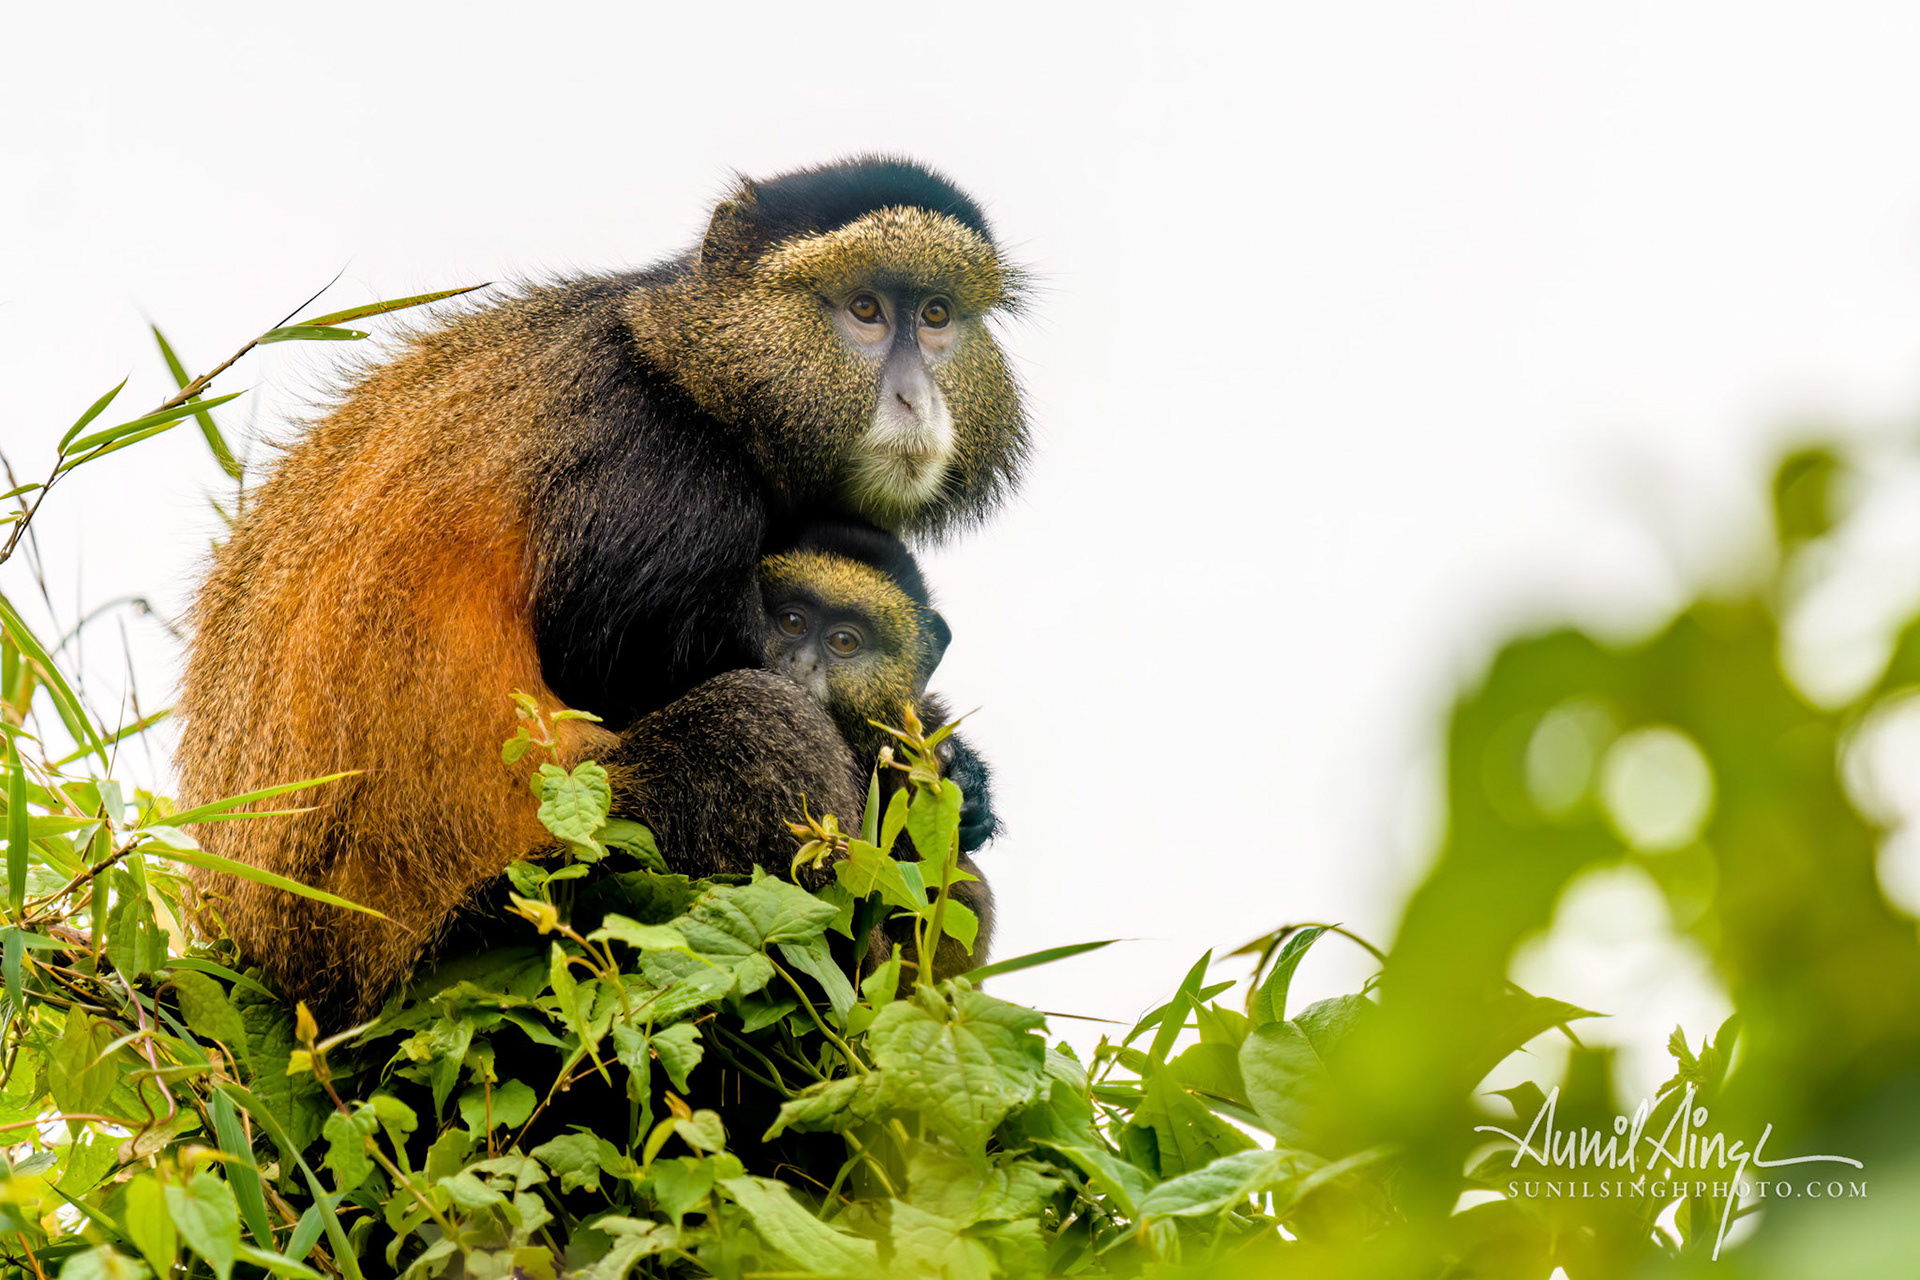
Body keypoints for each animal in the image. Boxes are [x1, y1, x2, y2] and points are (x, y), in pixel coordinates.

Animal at [177, 157, 1028, 1019]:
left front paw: (959, 772)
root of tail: (280, 960)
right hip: (517, 927)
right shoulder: (656, 473)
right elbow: (614, 677)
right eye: (864, 310)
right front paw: (920, 749)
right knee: (757, 726)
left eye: (936, 315)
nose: (915, 398)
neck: (693, 372)